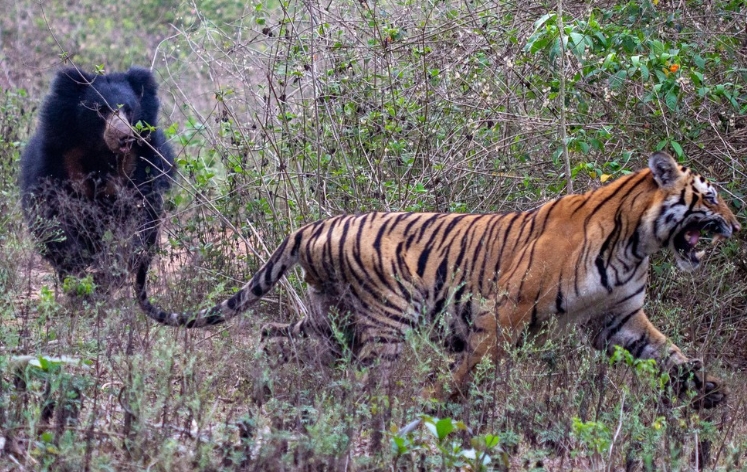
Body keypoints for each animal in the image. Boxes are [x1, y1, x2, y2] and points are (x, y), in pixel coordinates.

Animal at [20, 67, 175, 292]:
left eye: (129, 110)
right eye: (101, 110)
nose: (125, 137)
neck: (101, 152)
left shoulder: (141, 162)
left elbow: (142, 210)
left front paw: (122, 259)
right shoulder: (57, 160)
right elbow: (52, 213)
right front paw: (79, 264)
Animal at [139, 153, 744, 408]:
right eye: (711, 197)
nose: (738, 225)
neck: (637, 242)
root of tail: (311, 225)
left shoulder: (618, 317)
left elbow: (670, 353)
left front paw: (709, 392)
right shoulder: (506, 310)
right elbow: (470, 368)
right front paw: (437, 407)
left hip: (328, 320)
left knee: (274, 337)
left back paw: (269, 391)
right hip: (386, 323)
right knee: (367, 383)